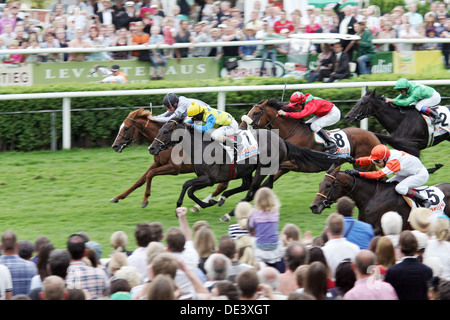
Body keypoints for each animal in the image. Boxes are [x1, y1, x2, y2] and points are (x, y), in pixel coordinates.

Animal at [149, 118, 342, 210]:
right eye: (159, 129)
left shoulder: (209, 178)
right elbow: (190, 189)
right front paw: (207, 203)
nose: (151, 148)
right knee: (249, 185)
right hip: (247, 169)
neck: (201, 147)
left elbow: (186, 185)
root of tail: (281, 140)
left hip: (262, 168)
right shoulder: (205, 179)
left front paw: (181, 204)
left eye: (166, 131)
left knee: (254, 187)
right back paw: (225, 197)